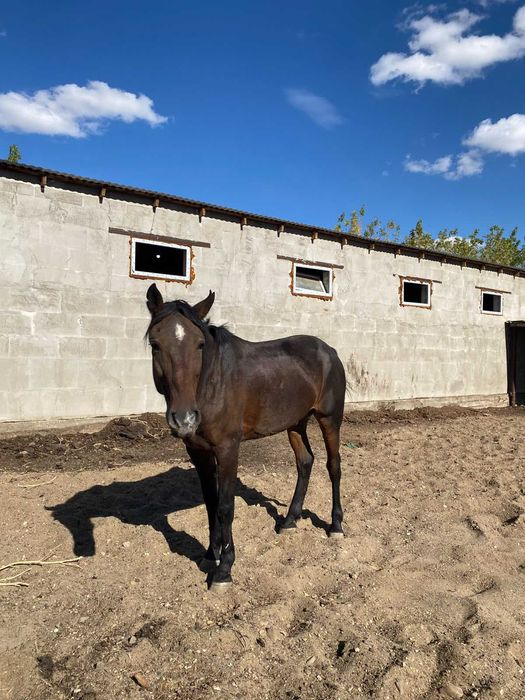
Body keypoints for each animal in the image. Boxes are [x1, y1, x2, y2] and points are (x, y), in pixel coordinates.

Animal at [145, 284, 346, 590]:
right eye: (155, 345)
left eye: (200, 345)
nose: (184, 419)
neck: (212, 383)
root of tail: (330, 351)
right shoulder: (198, 452)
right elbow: (211, 503)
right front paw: (210, 554)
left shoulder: (228, 449)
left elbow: (226, 507)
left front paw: (224, 569)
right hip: (296, 423)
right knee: (305, 462)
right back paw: (289, 520)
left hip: (329, 419)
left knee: (333, 466)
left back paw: (335, 526)